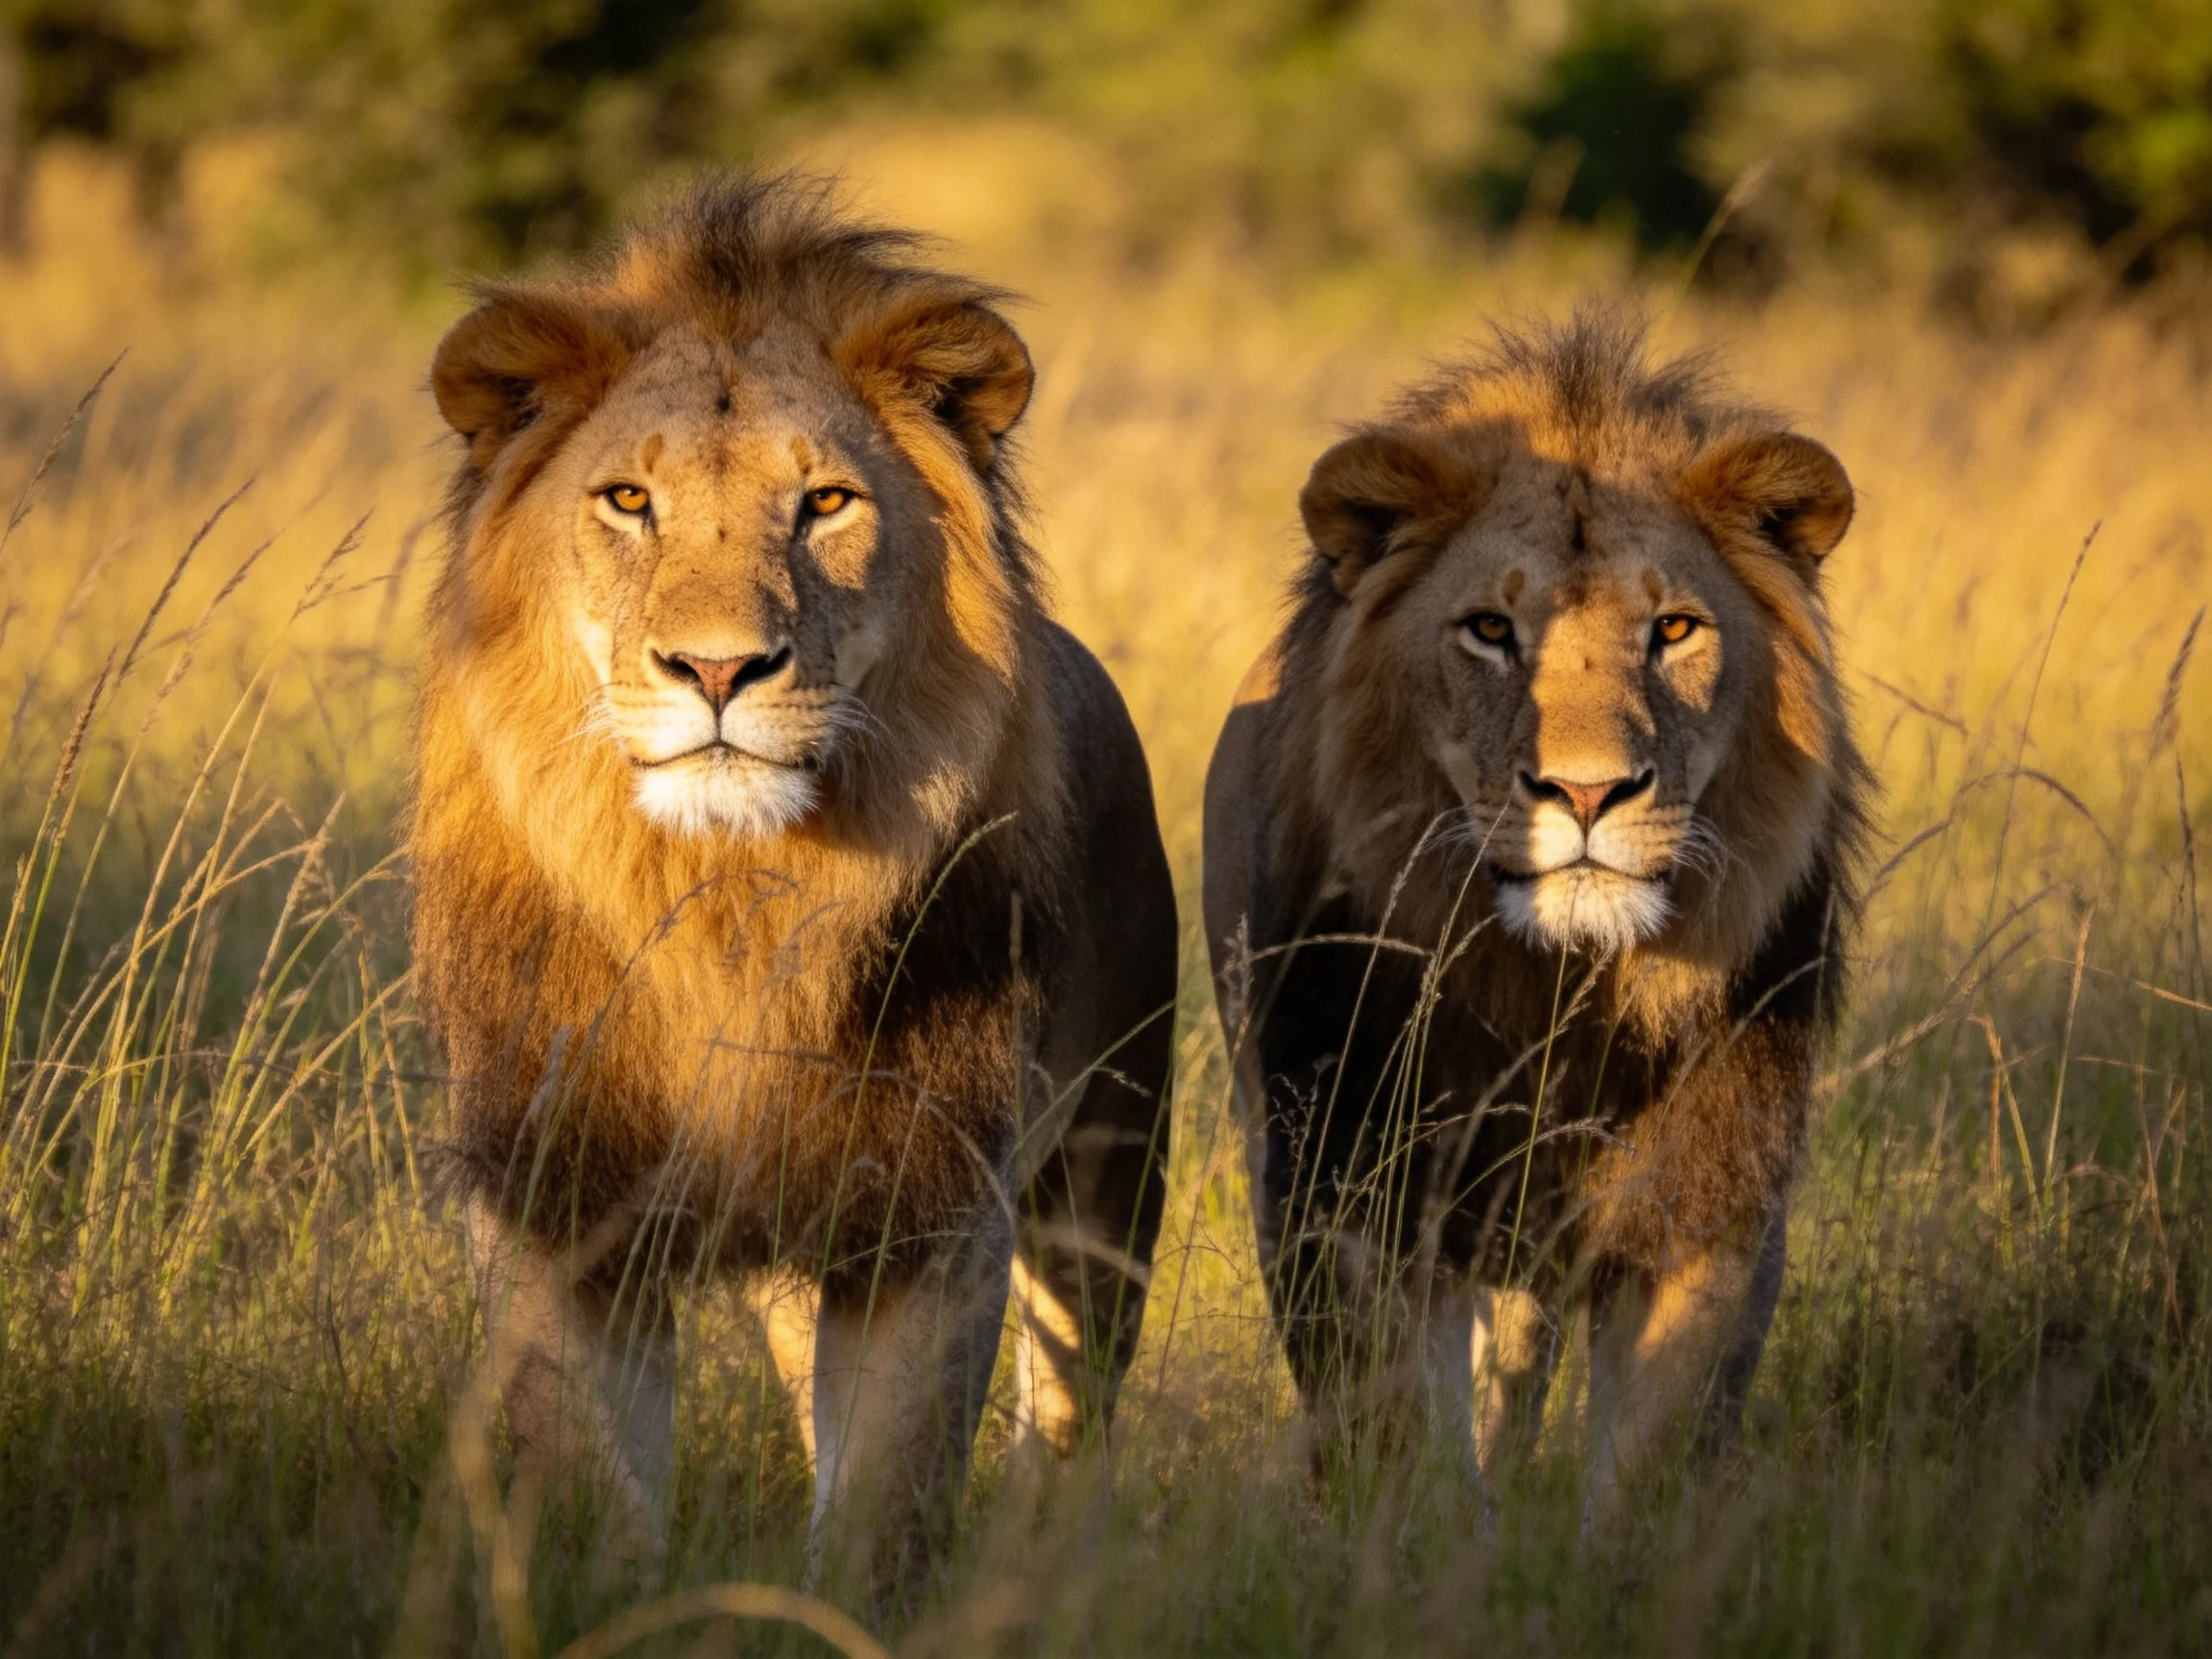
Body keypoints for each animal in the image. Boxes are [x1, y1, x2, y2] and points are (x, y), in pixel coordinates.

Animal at [412, 175, 1177, 1588]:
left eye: (825, 503)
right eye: (627, 500)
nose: (719, 669)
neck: (730, 903)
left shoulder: (931, 1212)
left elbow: (888, 1500)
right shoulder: (554, 1200)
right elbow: (587, 1483)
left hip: (1113, 1151)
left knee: (1071, 1410)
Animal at [1203, 313, 1865, 1508]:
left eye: (1675, 629)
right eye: (1489, 630)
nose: (1590, 792)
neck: (1559, 991)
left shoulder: (1712, 1207)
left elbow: (1654, 1450)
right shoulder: (1344, 1186)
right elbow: (1387, 1435)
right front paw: (1420, 1543)